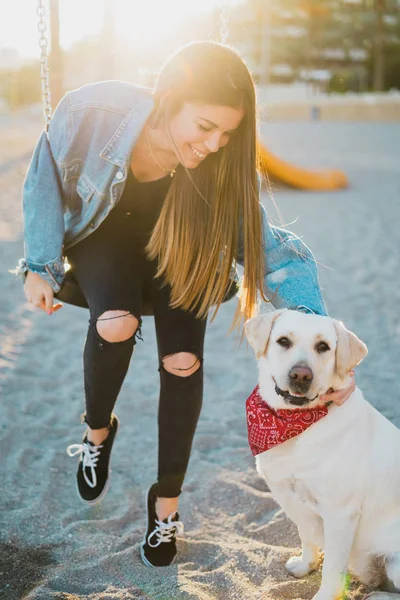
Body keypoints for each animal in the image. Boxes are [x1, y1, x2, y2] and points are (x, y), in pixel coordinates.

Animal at [244, 310, 400, 600]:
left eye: (323, 347)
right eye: (284, 341)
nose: (301, 375)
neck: (296, 425)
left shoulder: (340, 513)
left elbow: (333, 568)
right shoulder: (291, 497)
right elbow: (306, 536)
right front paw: (306, 565)